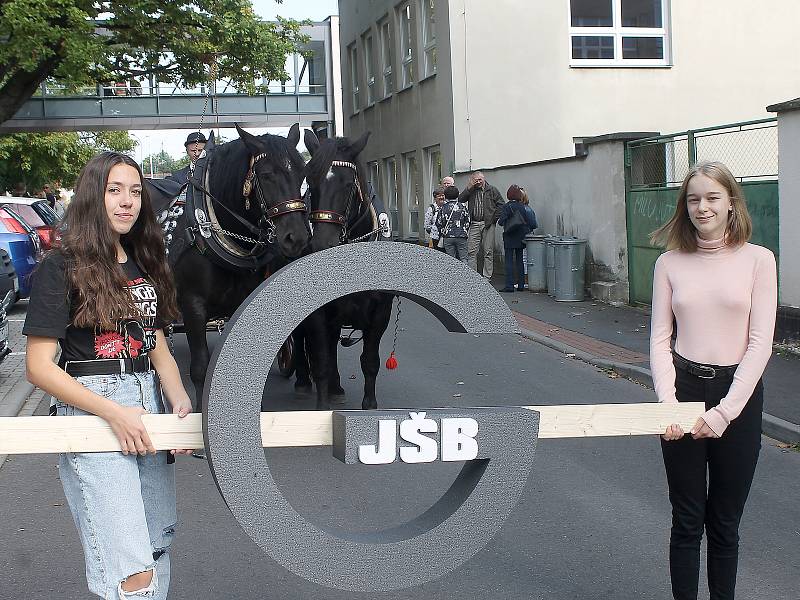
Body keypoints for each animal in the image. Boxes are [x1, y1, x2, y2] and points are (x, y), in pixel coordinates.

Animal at [292, 130, 396, 412]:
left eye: (348, 185)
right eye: (311, 184)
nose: (321, 244)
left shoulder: (380, 314)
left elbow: (369, 361)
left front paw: (369, 405)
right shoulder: (317, 313)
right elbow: (321, 361)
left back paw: (336, 387)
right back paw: (304, 381)